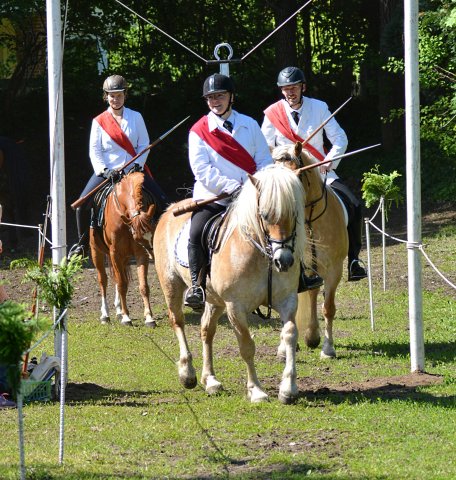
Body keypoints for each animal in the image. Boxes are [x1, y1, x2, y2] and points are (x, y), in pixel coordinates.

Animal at [89, 172, 157, 326]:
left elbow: (143, 286)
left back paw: (119, 311)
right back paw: (105, 315)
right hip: (96, 251)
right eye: (137, 237)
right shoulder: (115, 253)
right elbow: (122, 284)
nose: (152, 254)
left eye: (153, 231)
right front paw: (126, 317)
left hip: (124, 258)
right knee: (103, 280)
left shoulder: (140, 254)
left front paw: (149, 318)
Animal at [153, 163, 306, 404]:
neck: (261, 255)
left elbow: (290, 334)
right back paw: (187, 374)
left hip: (214, 300)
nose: (284, 261)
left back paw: (211, 380)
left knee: (206, 330)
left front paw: (288, 389)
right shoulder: (236, 306)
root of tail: (170, 210)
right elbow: (246, 346)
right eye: (264, 215)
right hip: (172, 286)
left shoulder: (287, 299)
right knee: (177, 322)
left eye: (294, 213)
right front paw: (256, 390)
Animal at [272, 143, 348, 360]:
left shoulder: (334, 269)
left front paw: (328, 349)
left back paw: (313, 337)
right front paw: (284, 348)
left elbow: (328, 308)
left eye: (295, 178)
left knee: (314, 294)